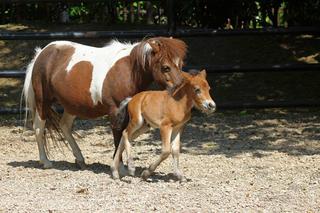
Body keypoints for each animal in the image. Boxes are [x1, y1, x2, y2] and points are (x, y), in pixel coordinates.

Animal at [23, 37, 186, 169]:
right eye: (165, 67)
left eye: (180, 65)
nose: (180, 89)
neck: (128, 70)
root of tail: (42, 52)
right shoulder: (115, 111)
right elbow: (118, 135)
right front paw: (120, 167)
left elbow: (126, 136)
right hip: (43, 102)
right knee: (38, 128)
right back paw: (45, 162)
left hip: (71, 105)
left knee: (65, 126)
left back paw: (80, 160)